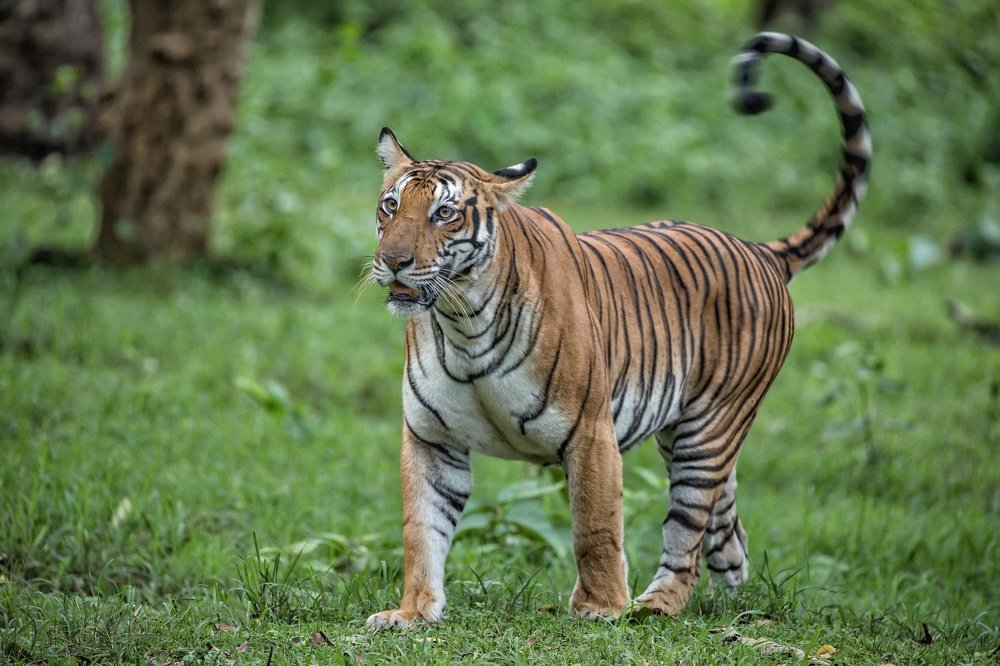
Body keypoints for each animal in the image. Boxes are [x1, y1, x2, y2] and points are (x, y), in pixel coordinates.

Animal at [364, 32, 870, 628]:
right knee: (730, 536)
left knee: (686, 537)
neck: (462, 320)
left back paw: (654, 606)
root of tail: (760, 250)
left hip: (708, 435)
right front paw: (412, 612)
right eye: (390, 206)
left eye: (443, 214)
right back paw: (733, 604)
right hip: (689, 434)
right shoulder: (430, 437)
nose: (393, 262)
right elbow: (421, 532)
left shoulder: (591, 430)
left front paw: (600, 607)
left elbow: (595, 526)